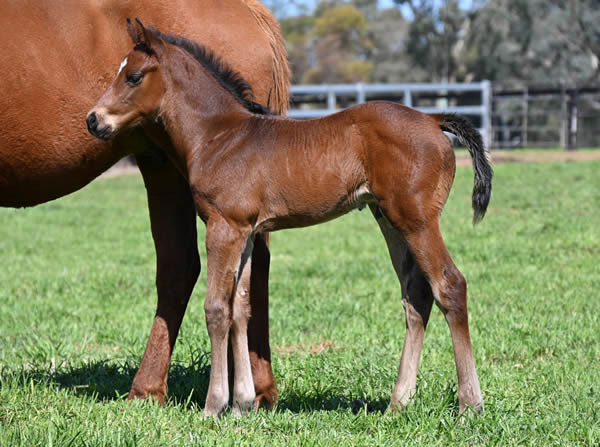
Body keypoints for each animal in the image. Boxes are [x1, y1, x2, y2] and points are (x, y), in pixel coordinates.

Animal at [89, 20, 492, 420]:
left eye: (134, 76)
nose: (94, 120)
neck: (219, 136)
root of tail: (432, 119)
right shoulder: (246, 232)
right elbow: (241, 308)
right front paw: (243, 405)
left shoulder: (223, 227)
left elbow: (216, 308)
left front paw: (213, 406)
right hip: (390, 221)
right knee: (416, 295)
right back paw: (398, 403)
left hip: (417, 220)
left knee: (450, 286)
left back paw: (470, 404)